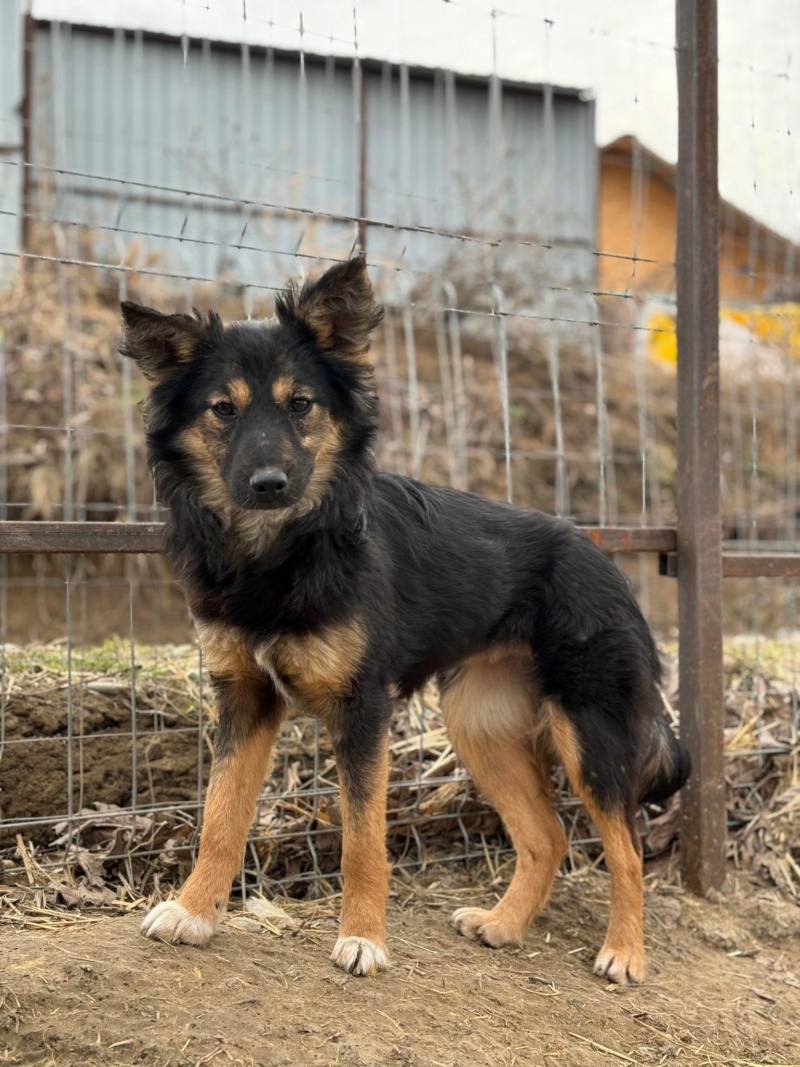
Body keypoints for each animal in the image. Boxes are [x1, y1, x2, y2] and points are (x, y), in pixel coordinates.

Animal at [122, 256, 691, 981]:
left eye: (301, 404)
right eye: (223, 409)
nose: (270, 484)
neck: (281, 553)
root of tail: (610, 564)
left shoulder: (364, 707)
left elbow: (363, 840)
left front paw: (364, 939)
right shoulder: (244, 698)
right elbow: (221, 817)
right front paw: (193, 912)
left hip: (589, 731)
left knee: (628, 850)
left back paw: (624, 952)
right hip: (479, 722)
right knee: (549, 835)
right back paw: (504, 925)